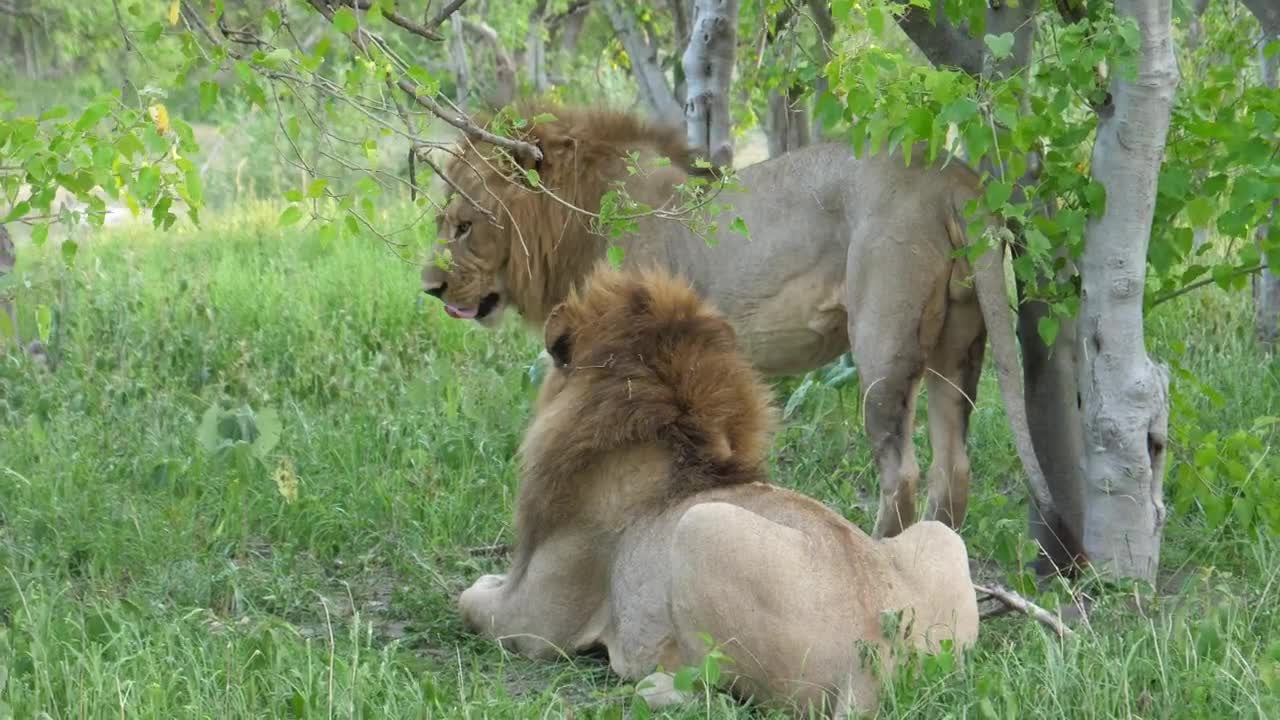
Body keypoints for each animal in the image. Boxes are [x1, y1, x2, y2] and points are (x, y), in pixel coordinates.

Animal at [422, 103, 1054, 543]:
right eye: (443, 222)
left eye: (464, 226)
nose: (430, 287)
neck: (580, 219)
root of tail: (952, 176)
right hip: (960, 343)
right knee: (955, 469)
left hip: (882, 340)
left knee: (902, 473)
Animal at [457, 263, 979, 716]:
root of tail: (873, 657)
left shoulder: (537, 621)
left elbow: (468, 600)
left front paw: (482, 581)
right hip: (940, 541)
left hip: (699, 527)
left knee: (714, 691)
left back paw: (651, 682)